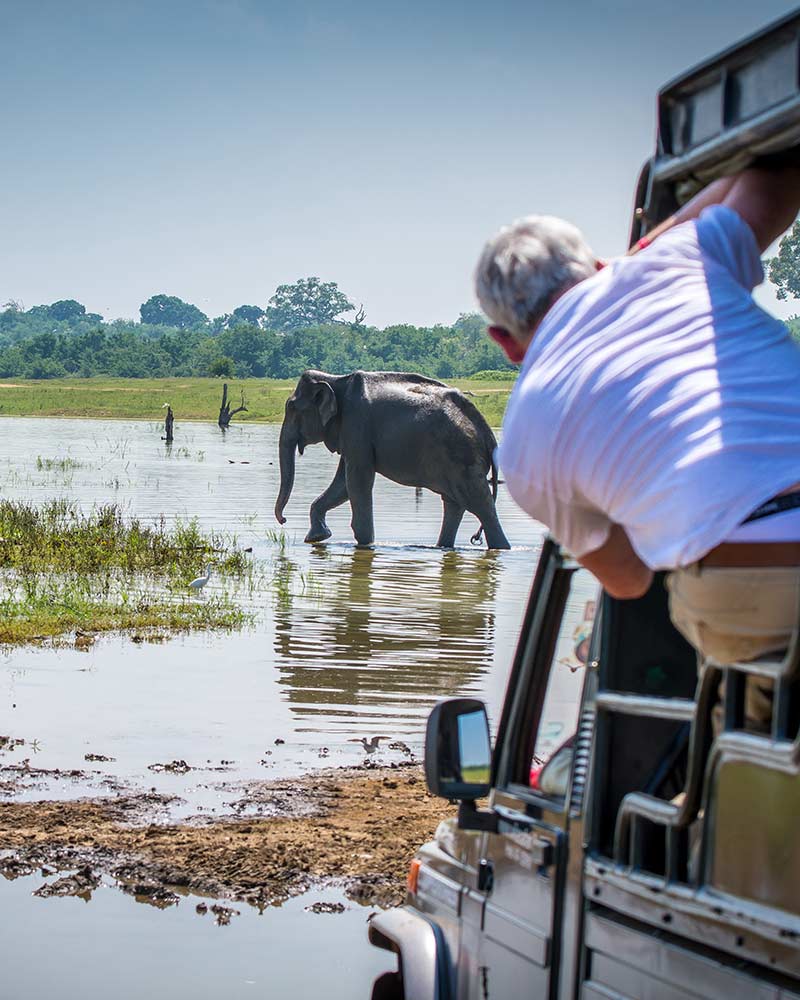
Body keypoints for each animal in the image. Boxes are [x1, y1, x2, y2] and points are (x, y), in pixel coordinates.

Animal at [276, 372, 510, 552]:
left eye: (292, 408)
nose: (283, 520)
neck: (335, 380)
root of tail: (488, 434)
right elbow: (343, 484)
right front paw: (316, 538)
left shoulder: (356, 425)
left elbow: (357, 481)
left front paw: (365, 544)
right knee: (455, 504)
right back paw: (444, 547)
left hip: (464, 458)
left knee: (481, 506)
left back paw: (501, 548)